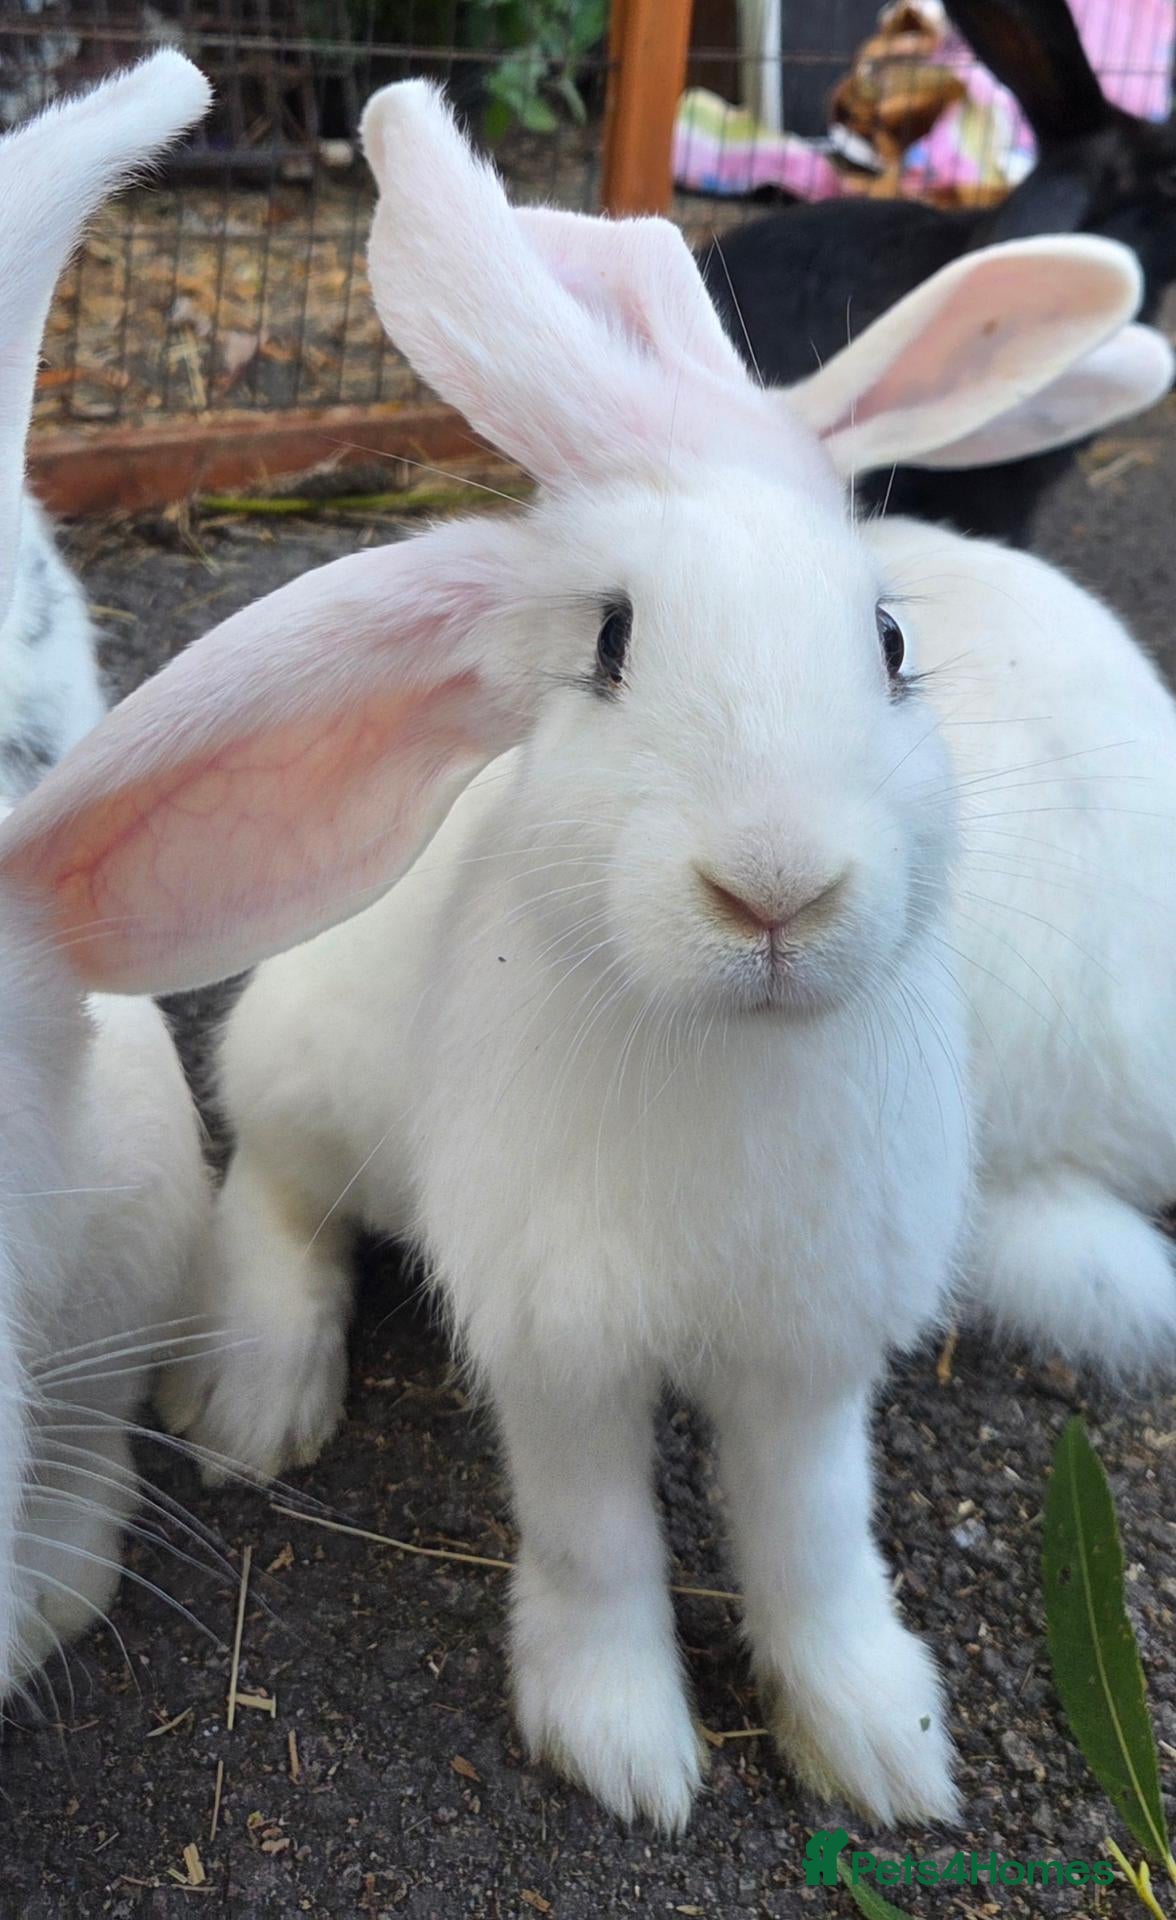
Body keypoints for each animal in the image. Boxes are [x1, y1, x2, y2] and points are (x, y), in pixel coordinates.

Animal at [11, 82, 1158, 1829]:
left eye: (890, 642)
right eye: (609, 645)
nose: (775, 888)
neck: (730, 1060)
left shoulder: (811, 1358)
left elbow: (814, 1541)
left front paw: (880, 1745)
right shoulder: (560, 1345)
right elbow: (596, 1535)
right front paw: (621, 1742)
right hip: (306, 1080)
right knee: (279, 1193)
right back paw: (257, 1395)